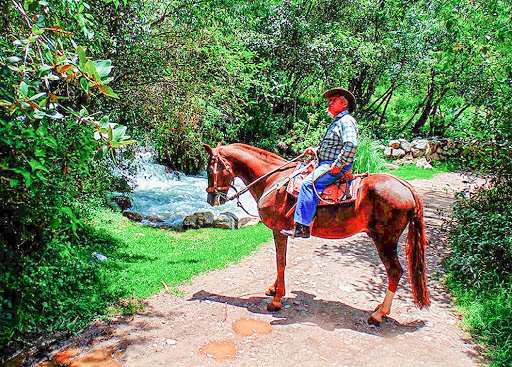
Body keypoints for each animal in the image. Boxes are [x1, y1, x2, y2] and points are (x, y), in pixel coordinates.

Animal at [202, 142, 430, 324]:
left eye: (210, 169)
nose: (211, 199)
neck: (274, 180)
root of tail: (407, 187)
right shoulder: (280, 232)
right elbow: (279, 260)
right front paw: (274, 289)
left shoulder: (279, 230)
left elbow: (280, 262)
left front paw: (276, 300)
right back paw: (378, 310)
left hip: (385, 240)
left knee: (395, 272)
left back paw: (378, 314)